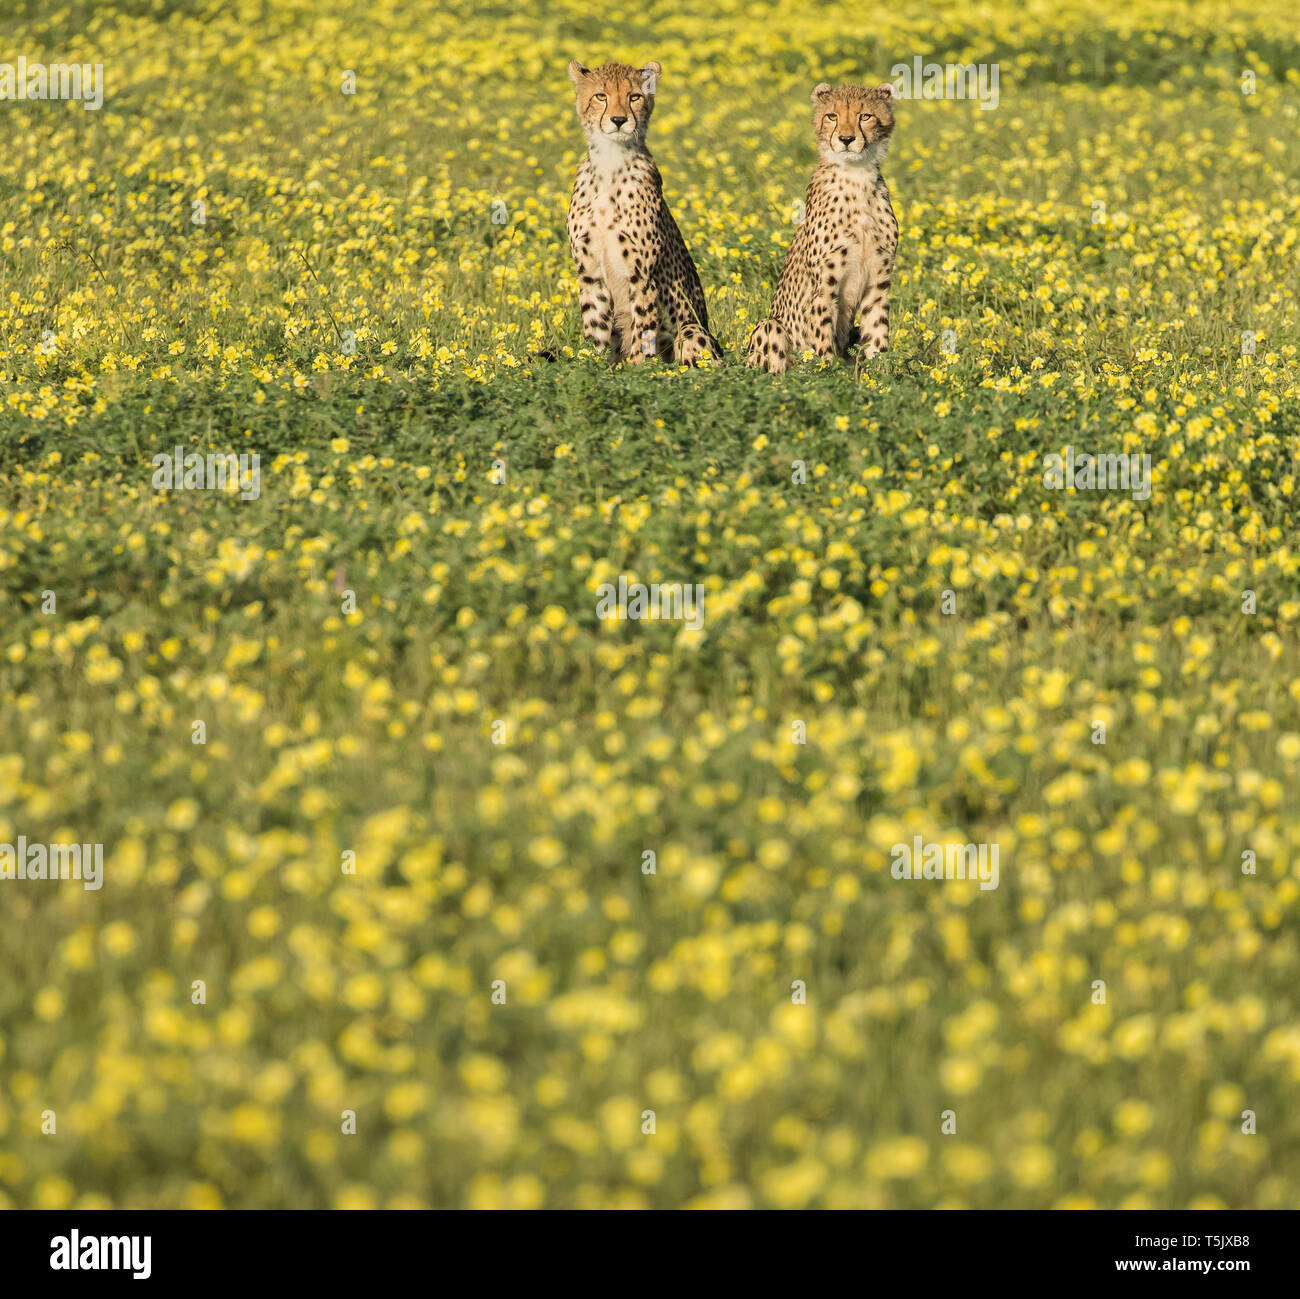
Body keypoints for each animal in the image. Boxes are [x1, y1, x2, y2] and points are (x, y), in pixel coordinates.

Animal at [564, 59, 722, 366]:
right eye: (600, 96)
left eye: (634, 97)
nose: (618, 120)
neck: (610, 161)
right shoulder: (590, 274)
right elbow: (595, 332)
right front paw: (591, 366)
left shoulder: (641, 275)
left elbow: (642, 330)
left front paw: (639, 369)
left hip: (692, 329)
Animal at [748, 83, 899, 374]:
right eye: (832, 116)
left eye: (865, 116)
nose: (846, 139)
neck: (856, 177)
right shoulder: (823, 288)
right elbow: (823, 337)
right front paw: (827, 373)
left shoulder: (878, 285)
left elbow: (877, 335)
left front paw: (883, 376)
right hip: (769, 325)